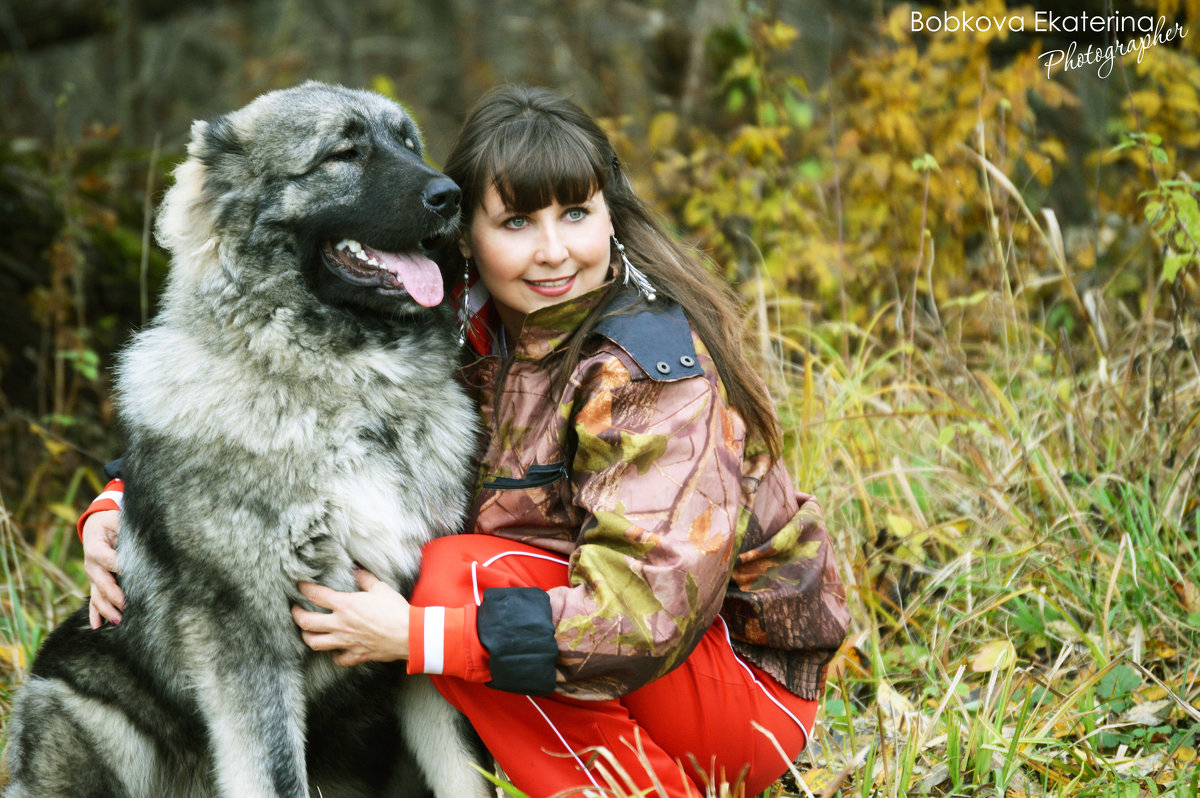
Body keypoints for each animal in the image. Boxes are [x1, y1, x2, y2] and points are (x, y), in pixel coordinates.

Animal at [5, 82, 487, 796]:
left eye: (408, 143)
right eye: (344, 153)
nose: (451, 195)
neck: (349, 389)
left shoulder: (412, 629)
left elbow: (467, 773)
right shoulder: (248, 645)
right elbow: (278, 775)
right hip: (90, 712)